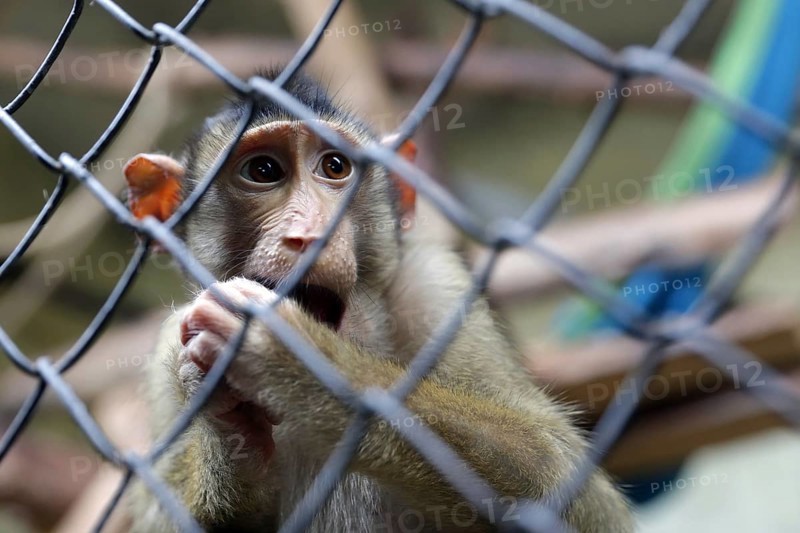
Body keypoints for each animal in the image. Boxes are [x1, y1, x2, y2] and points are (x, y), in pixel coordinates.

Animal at [124, 69, 634, 532]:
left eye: (334, 167)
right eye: (263, 171)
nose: (309, 236)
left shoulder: (435, 287)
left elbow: (562, 471)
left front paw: (299, 360)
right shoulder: (168, 349)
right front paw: (233, 437)